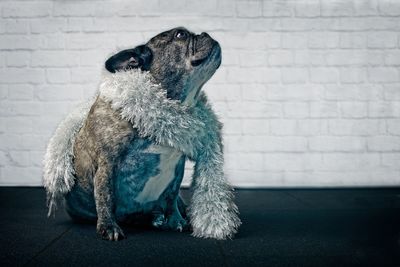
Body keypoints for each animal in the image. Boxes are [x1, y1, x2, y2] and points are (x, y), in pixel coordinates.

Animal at [45, 28, 242, 242]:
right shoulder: (106, 164)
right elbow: (105, 196)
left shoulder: (177, 168)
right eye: (180, 35)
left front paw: (176, 220)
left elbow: (172, 197)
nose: (206, 33)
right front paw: (109, 226)